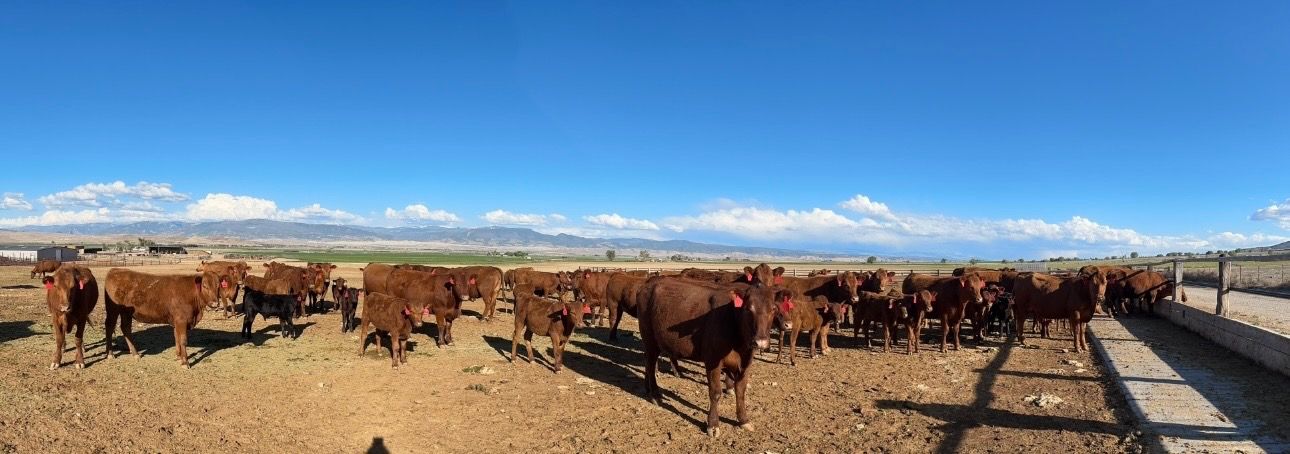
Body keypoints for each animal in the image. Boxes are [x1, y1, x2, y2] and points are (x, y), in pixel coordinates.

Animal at [637, 276, 795, 436]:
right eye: (747, 309)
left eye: (773, 309)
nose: (760, 342)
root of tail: (649, 283)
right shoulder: (713, 361)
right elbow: (715, 392)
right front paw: (713, 425)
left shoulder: (746, 363)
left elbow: (741, 391)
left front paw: (744, 420)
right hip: (650, 339)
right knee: (651, 364)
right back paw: (655, 395)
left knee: (647, 362)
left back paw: (647, 388)